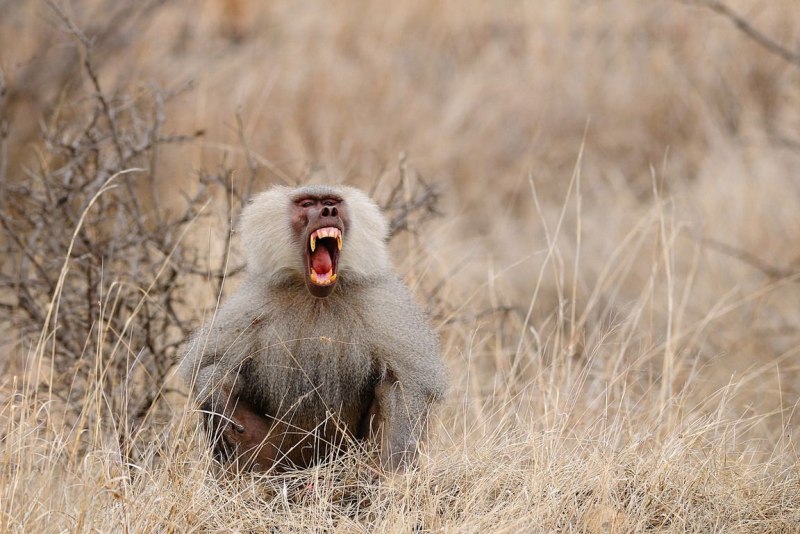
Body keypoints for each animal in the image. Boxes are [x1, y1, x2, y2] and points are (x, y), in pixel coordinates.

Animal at [179, 184, 447, 473]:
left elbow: (409, 382)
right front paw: (214, 400)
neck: (318, 299)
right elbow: (208, 365)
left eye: (332, 202)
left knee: (388, 389)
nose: (328, 211)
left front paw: (395, 470)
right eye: (307, 204)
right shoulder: (253, 306)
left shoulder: (384, 307)